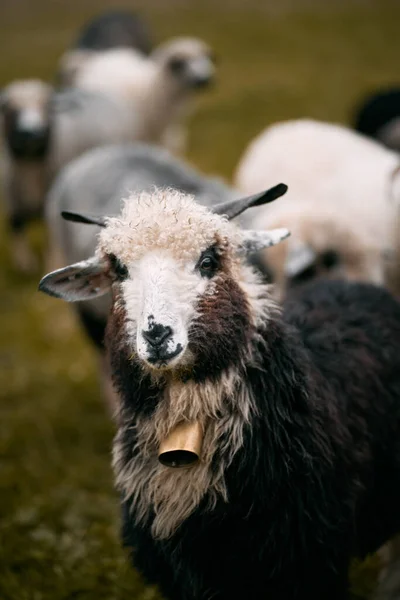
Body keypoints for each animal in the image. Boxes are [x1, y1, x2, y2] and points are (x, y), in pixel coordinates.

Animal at [0, 79, 53, 272]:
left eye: (46, 106)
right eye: (12, 110)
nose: (31, 133)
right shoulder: (14, 205)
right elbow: (16, 227)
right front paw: (26, 265)